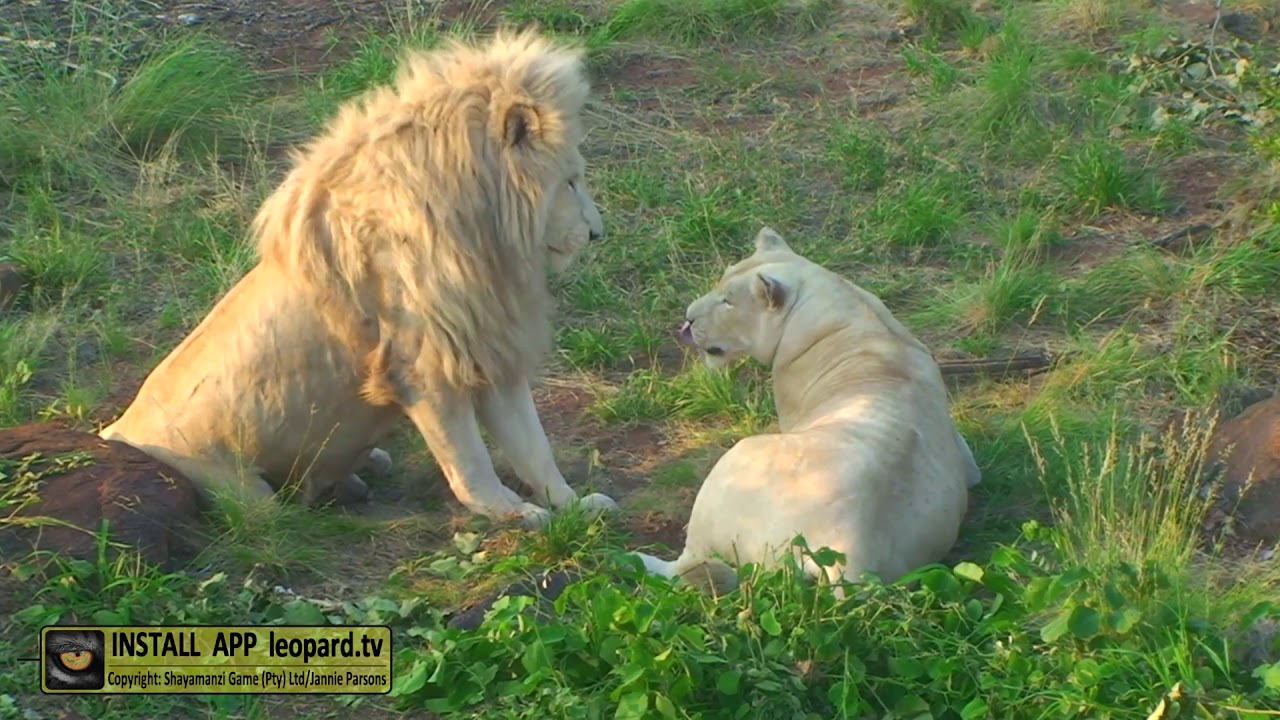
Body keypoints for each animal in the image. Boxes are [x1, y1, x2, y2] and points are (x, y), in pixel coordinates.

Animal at [98, 30, 618, 528]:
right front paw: (517, 514)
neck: (486, 237)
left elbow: (533, 446)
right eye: (570, 181)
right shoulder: (423, 365)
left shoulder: (489, 344)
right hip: (239, 491)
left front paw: (575, 507)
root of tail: (112, 431)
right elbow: (470, 465)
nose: (598, 233)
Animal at [632, 228, 981, 593]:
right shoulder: (964, 458)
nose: (688, 316)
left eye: (728, 301)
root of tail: (850, 553)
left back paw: (635, 558)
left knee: (690, 565)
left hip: (729, 472)